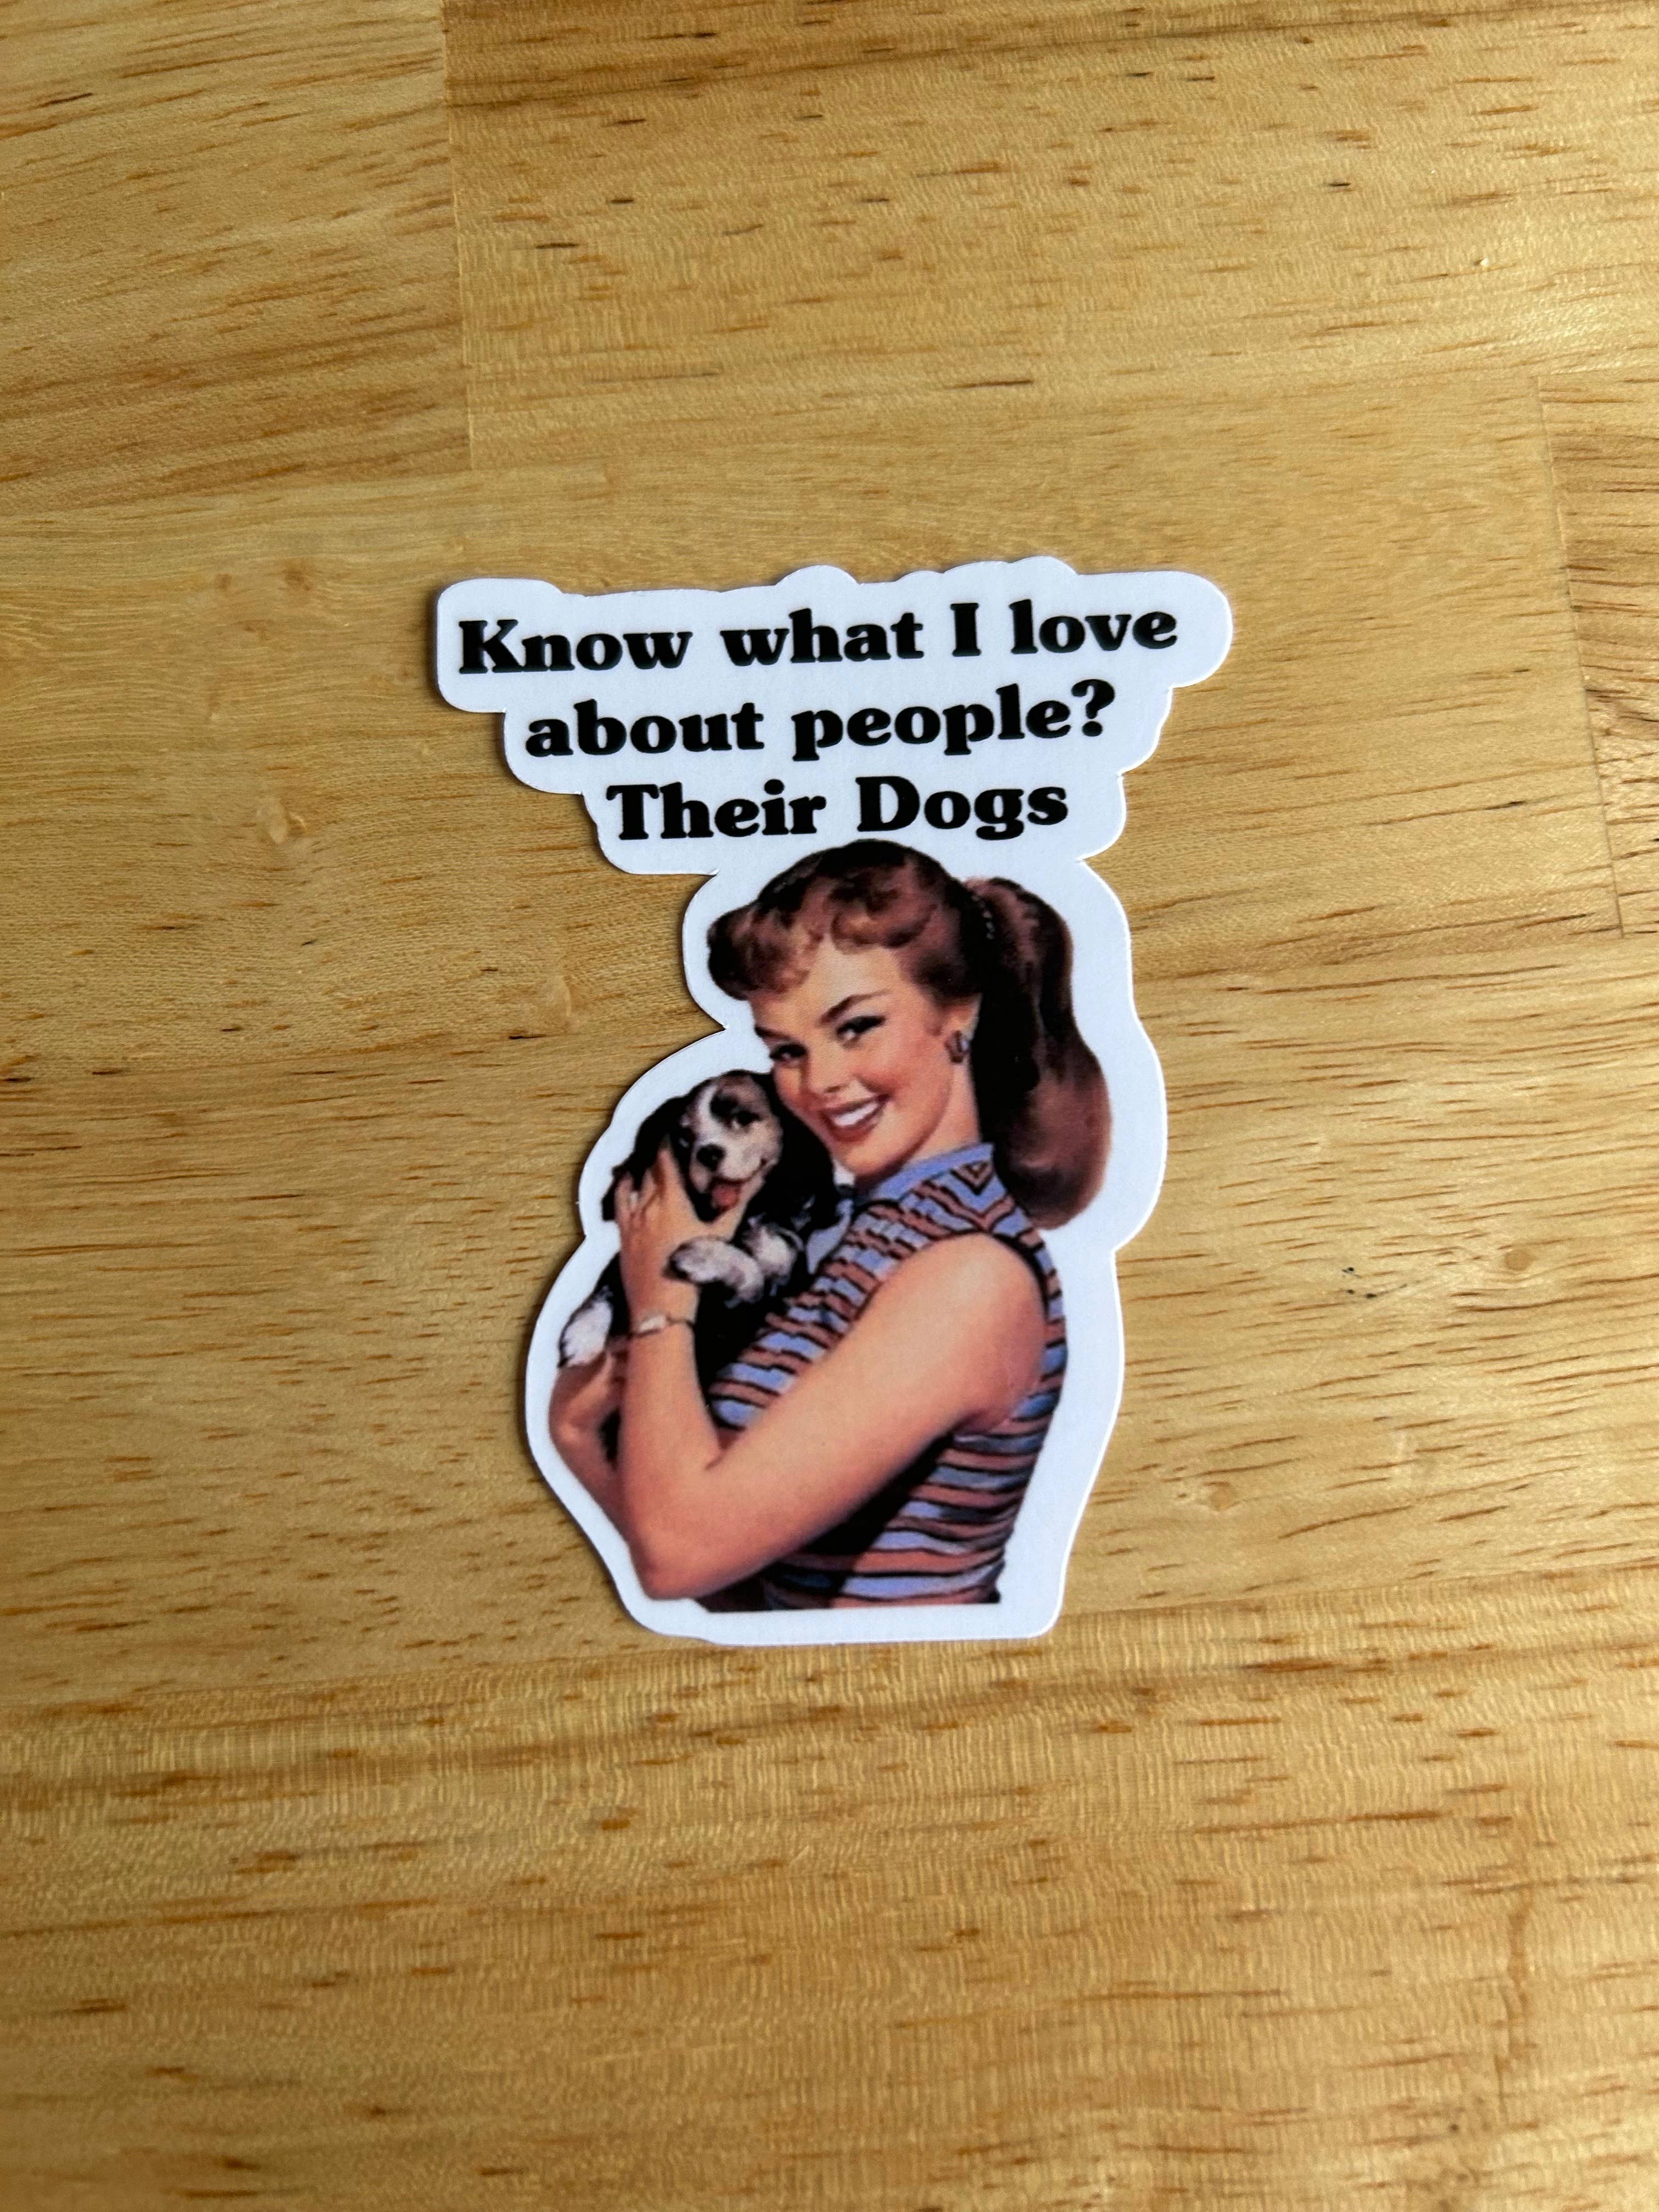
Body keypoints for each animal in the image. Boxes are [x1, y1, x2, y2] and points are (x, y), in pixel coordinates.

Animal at [557, 1070, 843, 1388]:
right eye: (685, 1138)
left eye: (743, 1118)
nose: (707, 1154)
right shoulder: (623, 1262)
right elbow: (606, 1286)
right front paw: (582, 1334)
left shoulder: (771, 1296)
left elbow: (753, 1271)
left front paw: (700, 1257)